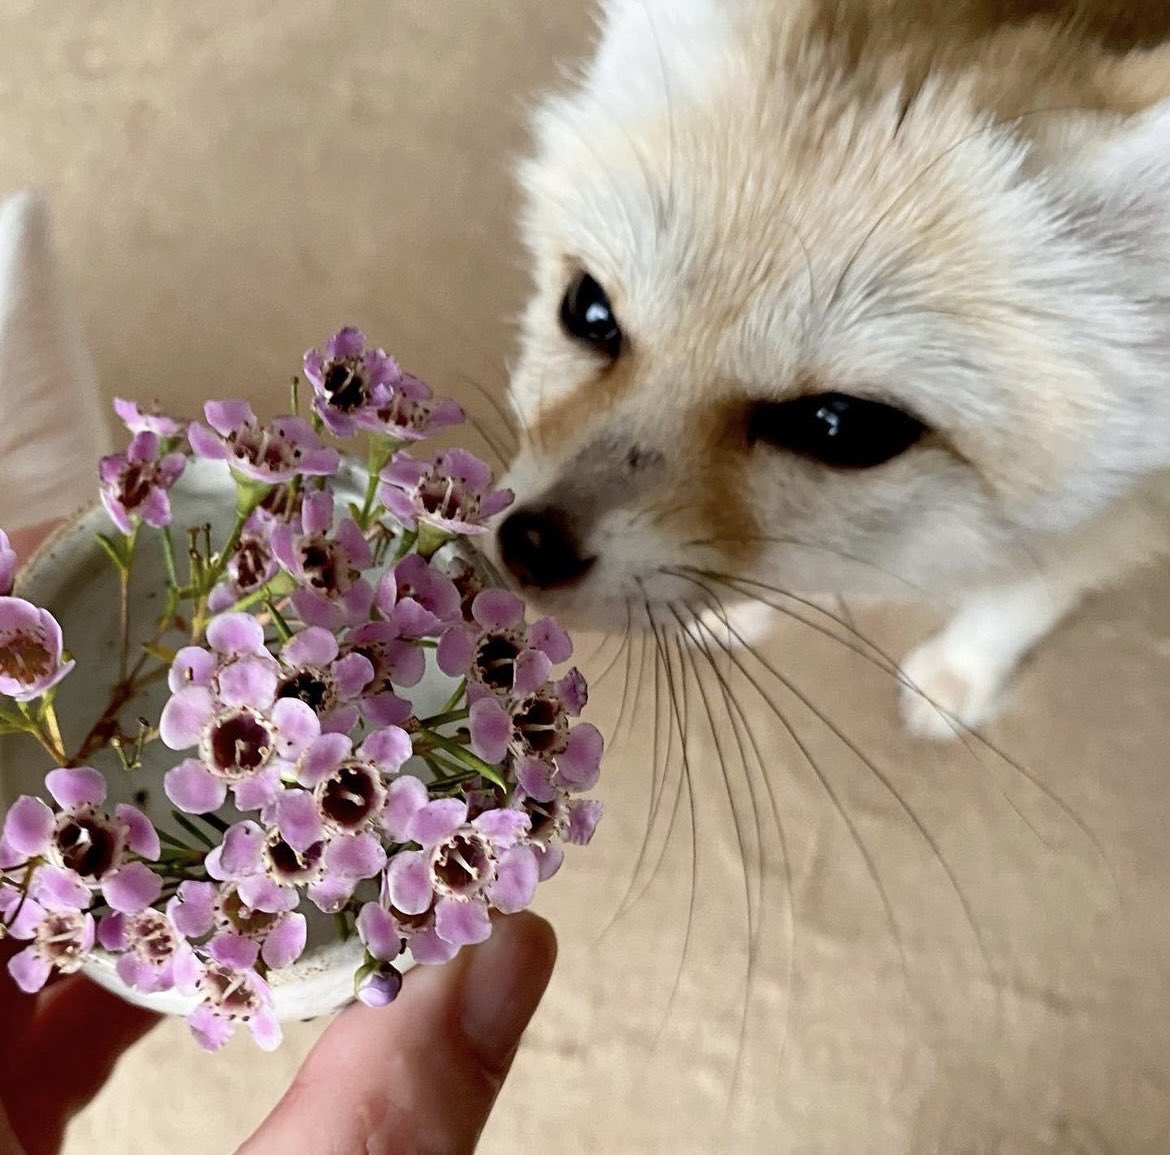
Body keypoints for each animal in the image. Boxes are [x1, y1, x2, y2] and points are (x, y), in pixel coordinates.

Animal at [493, 0, 1170, 739]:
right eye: (588, 309)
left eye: (841, 426)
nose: (525, 544)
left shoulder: (1117, 518)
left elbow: (1021, 598)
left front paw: (963, 670)